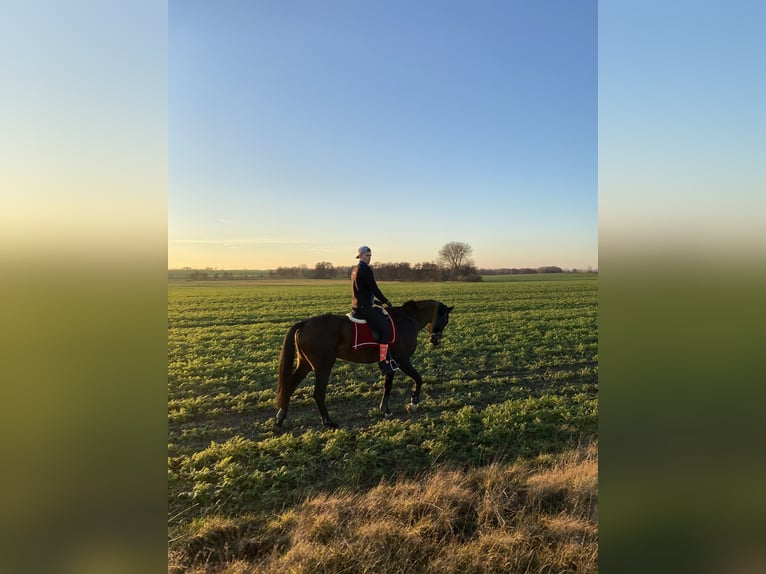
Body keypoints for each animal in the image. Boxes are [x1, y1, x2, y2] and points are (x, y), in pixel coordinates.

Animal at [274, 299, 454, 429]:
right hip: (323, 366)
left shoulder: (391, 362)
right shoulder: (402, 360)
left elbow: (388, 385)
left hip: (305, 364)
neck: (408, 319)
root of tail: (305, 323)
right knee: (318, 392)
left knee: (289, 386)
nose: (435, 340)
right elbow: (418, 378)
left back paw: (279, 419)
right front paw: (413, 403)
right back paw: (328, 422)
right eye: (445, 320)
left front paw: (386, 410)